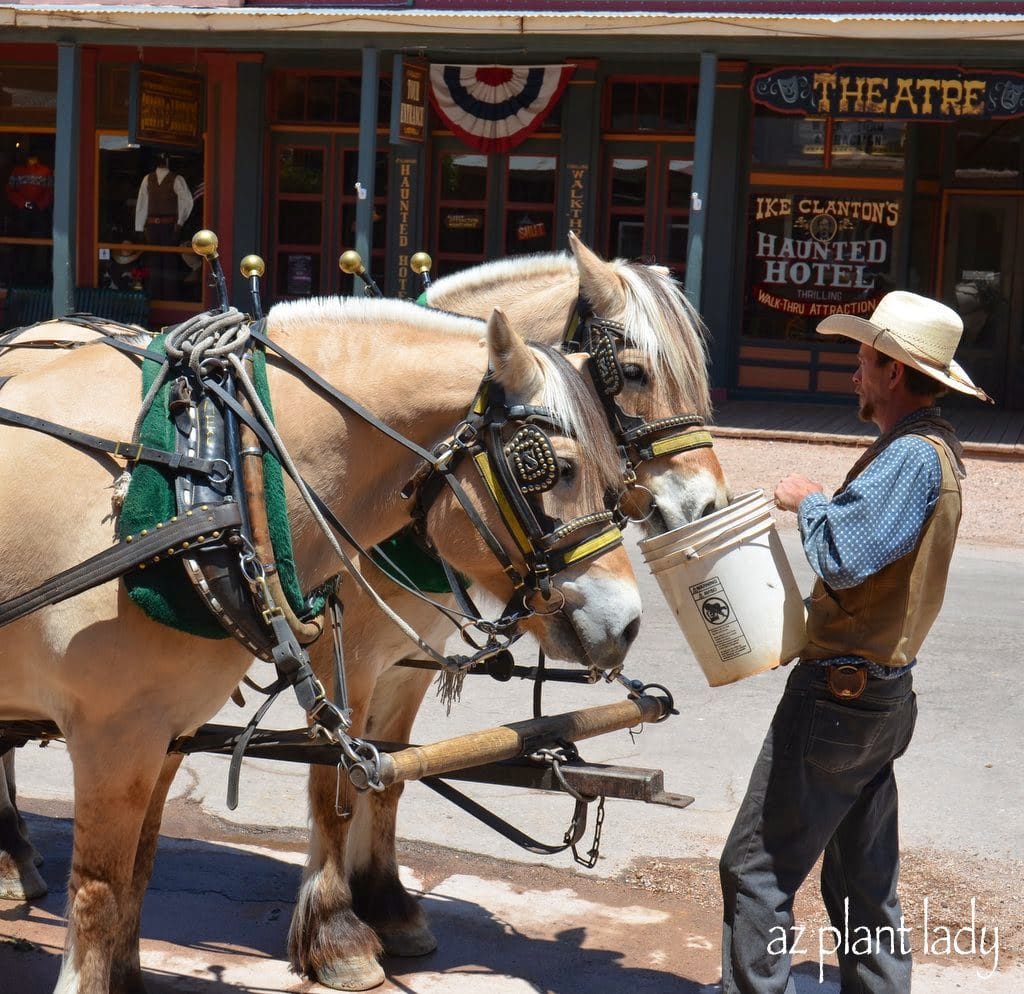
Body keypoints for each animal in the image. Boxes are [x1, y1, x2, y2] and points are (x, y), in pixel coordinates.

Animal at [0, 300, 638, 994]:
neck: (225, 478)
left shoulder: (172, 730)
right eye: (555, 467)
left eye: (616, 470)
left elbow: (144, 866)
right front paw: (342, 937)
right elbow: (102, 892)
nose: (628, 622)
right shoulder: (116, 732)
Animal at [286, 233, 737, 986]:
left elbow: (392, 778)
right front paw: (336, 930)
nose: (706, 505)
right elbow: (333, 786)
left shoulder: (403, 661)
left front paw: (388, 904)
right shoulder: (336, 657)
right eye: (634, 373)